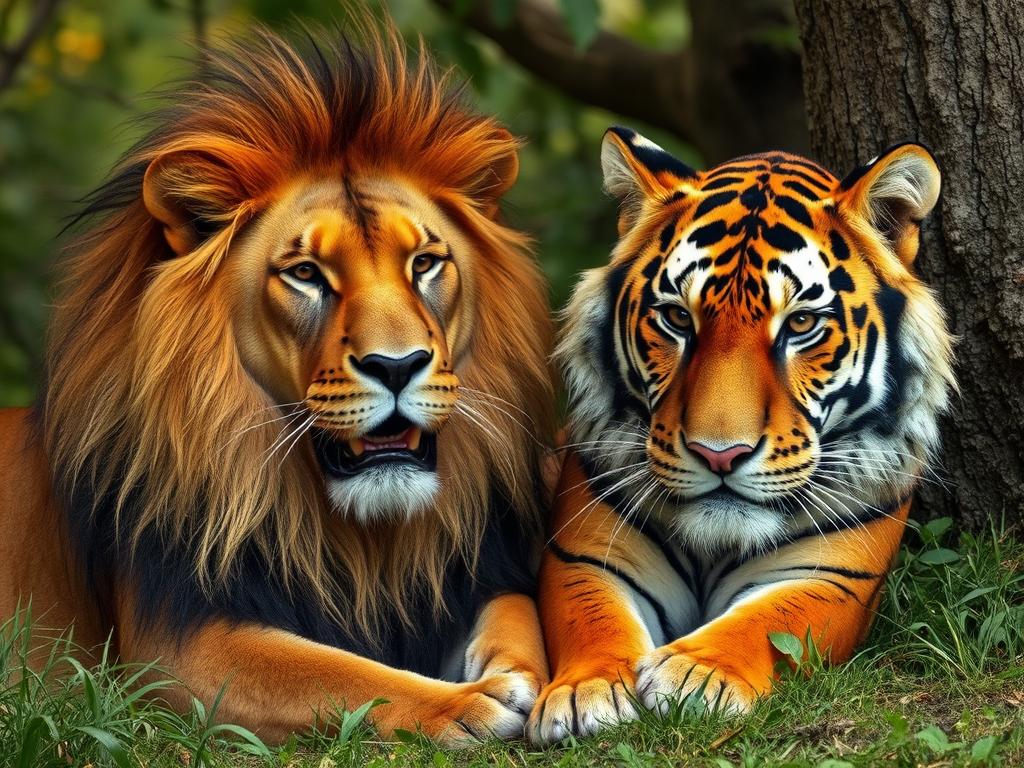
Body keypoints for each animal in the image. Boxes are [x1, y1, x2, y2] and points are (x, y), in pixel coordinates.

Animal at [527, 126, 955, 744]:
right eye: (677, 319)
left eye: (801, 323)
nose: (720, 455)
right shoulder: (583, 554)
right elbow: (590, 616)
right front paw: (585, 692)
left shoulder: (832, 575)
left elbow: (769, 620)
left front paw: (697, 674)